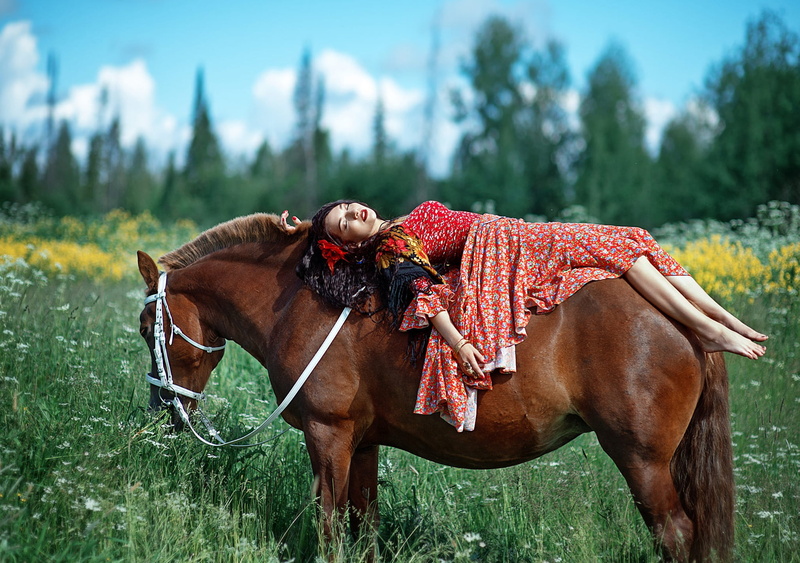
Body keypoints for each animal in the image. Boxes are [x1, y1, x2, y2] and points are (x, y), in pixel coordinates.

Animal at [136, 213, 734, 562]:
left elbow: (330, 527)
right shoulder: (362, 444)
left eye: (146, 328)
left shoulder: (327, 437)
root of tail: (684, 325)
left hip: (642, 461)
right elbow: (363, 526)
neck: (309, 299)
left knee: (675, 534)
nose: (165, 410)